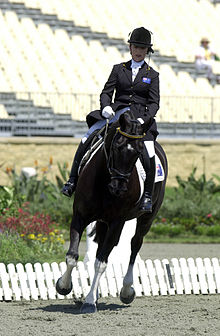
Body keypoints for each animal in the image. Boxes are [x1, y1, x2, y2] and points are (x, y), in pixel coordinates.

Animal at [55, 110, 168, 312]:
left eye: (139, 151)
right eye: (116, 146)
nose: (118, 188)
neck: (103, 181)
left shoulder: (117, 222)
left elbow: (101, 262)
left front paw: (89, 302)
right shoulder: (80, 216)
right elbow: (72, 256)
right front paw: (63, 286)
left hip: (146, 218)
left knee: (134, 245)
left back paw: (126, 291)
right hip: (102, 222)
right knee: (101, 247)